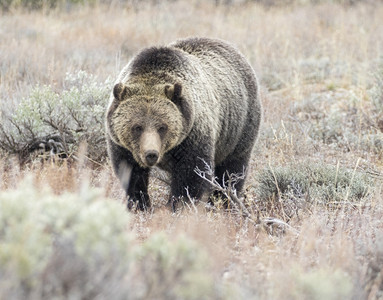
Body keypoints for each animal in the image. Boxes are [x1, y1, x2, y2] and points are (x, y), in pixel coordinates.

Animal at [106, 37, 260, 211]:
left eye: (162, 127)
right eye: (137, 127)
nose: (151, 154)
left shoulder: (192, 136)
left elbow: (192, 175)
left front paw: (177, 206)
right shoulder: (123, 145)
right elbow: (131, 173)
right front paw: (139, 205)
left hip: (238, 127)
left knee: (232, 169)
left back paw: (225, 201)